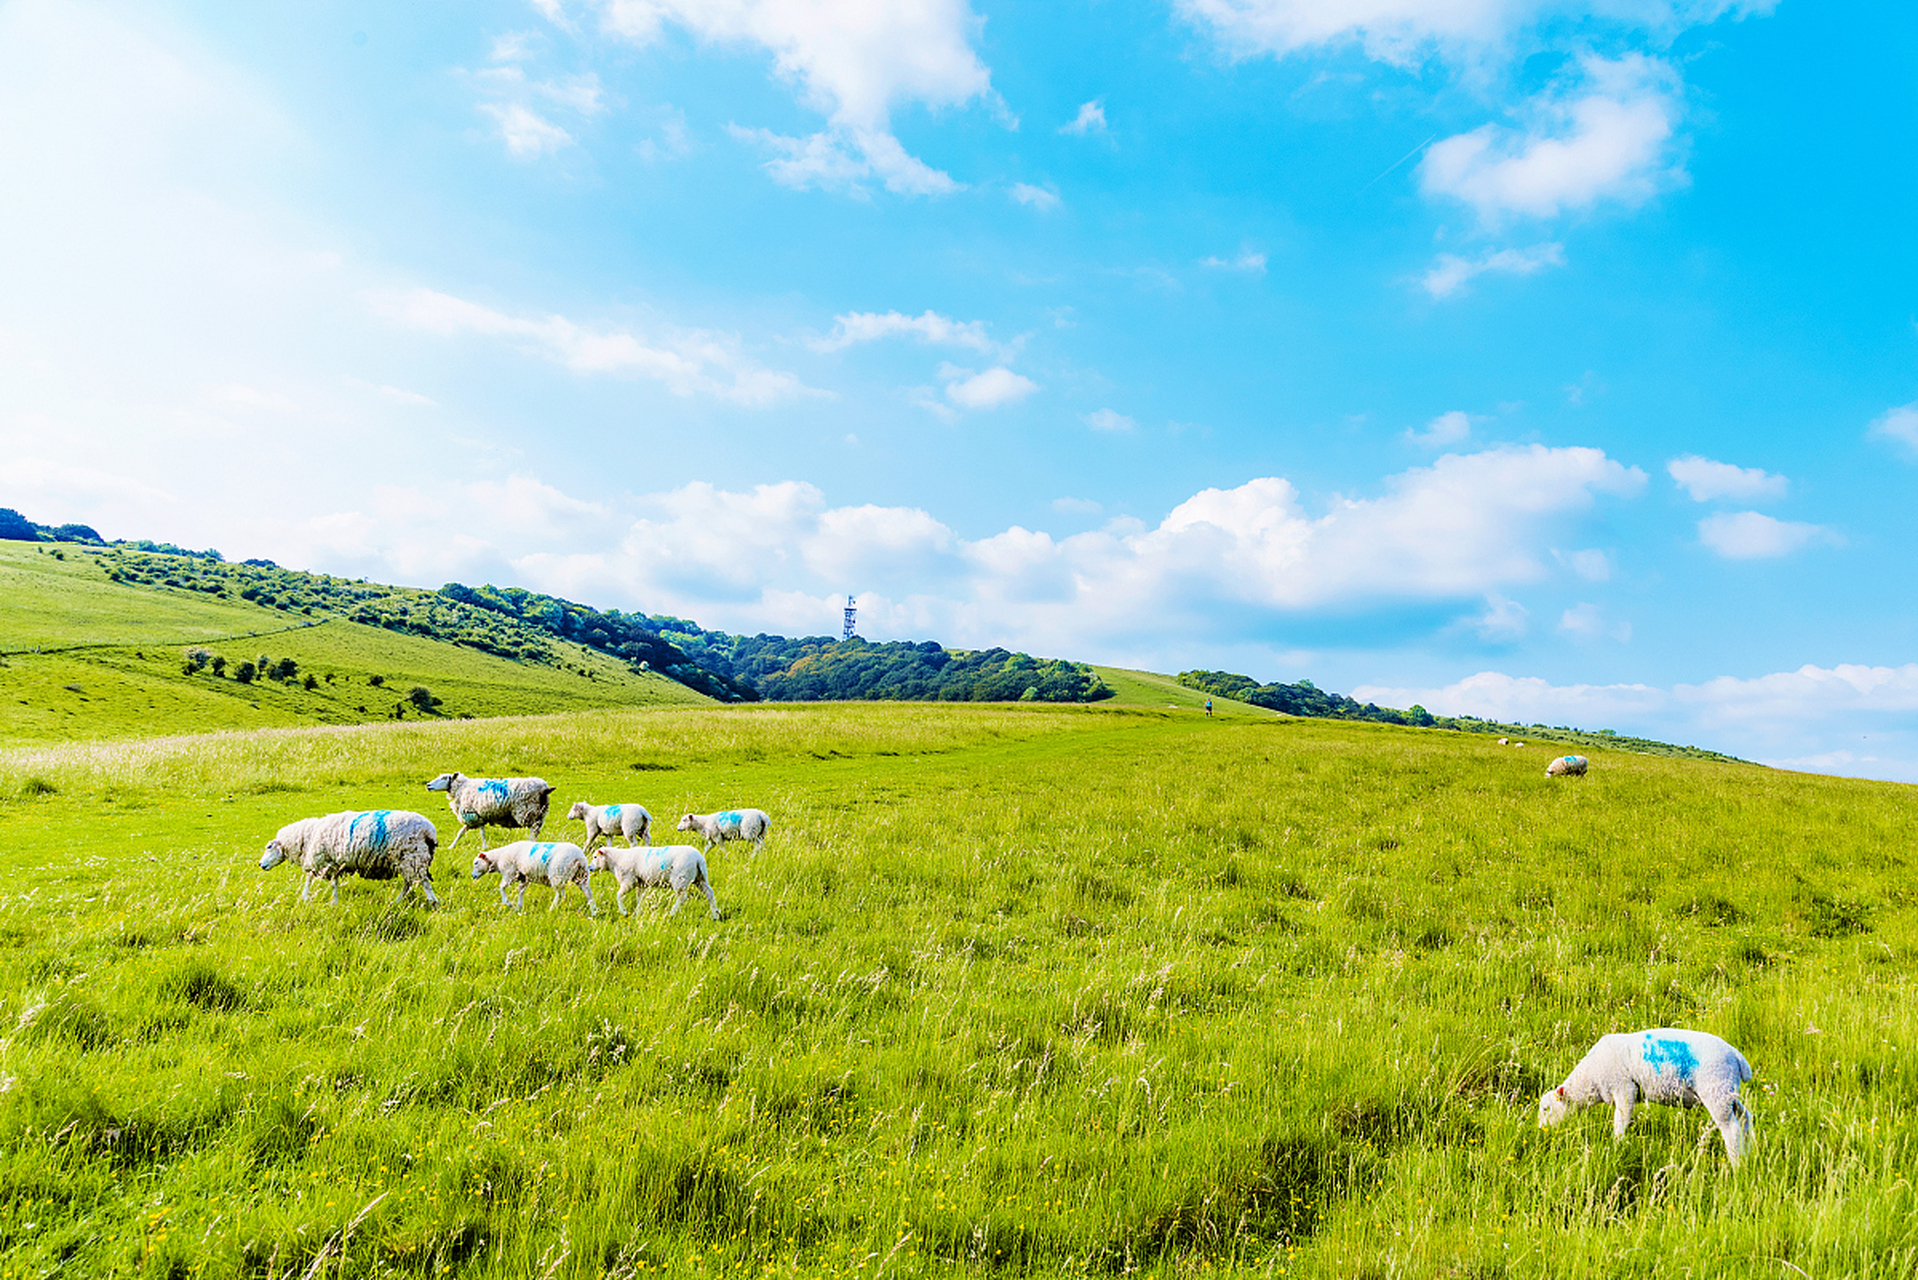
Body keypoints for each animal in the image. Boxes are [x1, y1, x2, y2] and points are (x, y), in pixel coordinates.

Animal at [260, 809, 439, 909]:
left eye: (269, 847)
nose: (261, 864)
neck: (307, 836)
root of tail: (429, 830)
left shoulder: (322, 861)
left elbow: (310, 879)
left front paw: (305, 898)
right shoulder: (333, 864)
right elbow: (333, 883)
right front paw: (335, 902)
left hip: (413, 856)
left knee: (423, 883)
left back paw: (433, 903)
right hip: (408, 859)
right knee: (409, 883)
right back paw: (397, 902)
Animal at [427, 771, 556, 852]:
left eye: (444, 778)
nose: (428, 785)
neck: (461, 788)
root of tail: (544, 788)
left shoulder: (473, 814)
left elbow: (482, 833)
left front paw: (484, 847)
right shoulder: (475, 816)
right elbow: (461, 832)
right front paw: (451, 846)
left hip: (527, 810)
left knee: (533, 829)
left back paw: (530, 844)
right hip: (540, 812)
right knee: (536, 829)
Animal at [583, 840, 721, 921]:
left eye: (595, 857)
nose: (590, 868)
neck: (616, 860)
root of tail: (699, 858)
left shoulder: (629, 880)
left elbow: (619, 895)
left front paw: (624, 911)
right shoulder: (641, 883)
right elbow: (640, 898)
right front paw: (637, 913)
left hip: (680, 878)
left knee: (682, 897)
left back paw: (672, 913)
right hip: (699, 877)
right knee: (709, 892)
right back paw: (715, 914)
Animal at [1542, 1028, 1756, 1166]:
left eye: (1546, 1109)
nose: (1542, 1131)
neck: (1589, 1078)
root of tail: (1737, 1057)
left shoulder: (1624, 1089)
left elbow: (1621, 1121)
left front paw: (1617, 1146)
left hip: (1716, 1090)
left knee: (1731, 1130)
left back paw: (1736, 1163)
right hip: (1728, 1092)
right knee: (1745, 1117)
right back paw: (1749, 1152)